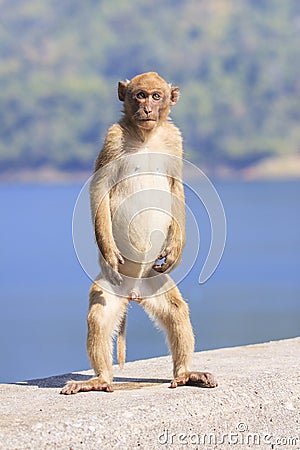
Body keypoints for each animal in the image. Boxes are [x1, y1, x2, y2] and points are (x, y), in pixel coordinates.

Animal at [61, 71, 217, 394]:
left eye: (156, 96)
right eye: (140, 95)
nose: (146, 109)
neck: (146, 136)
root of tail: (134, 292)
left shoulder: (174, 140)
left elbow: (176, 186)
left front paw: (176, 249)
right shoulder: (113, 137)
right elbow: (100, 187)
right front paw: (109, 250)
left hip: (154, 283)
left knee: (176, 310)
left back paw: (186, 373)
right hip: (112, 285)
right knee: (99, 314)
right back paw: (100, 378)